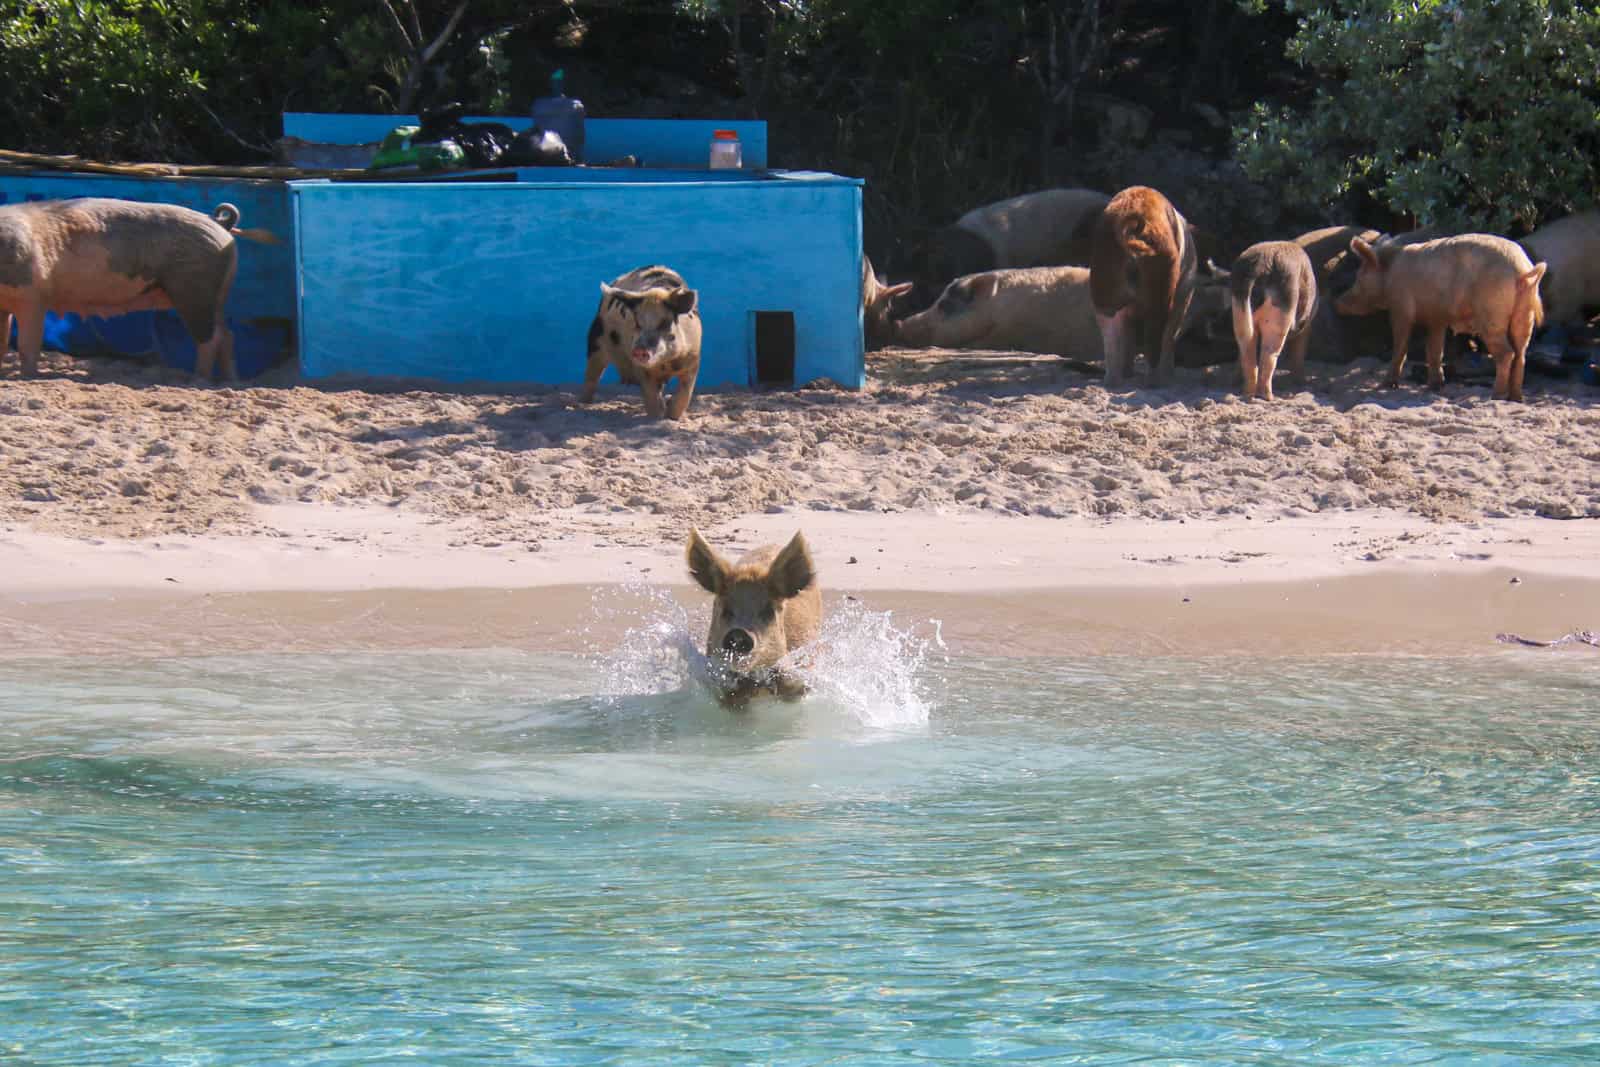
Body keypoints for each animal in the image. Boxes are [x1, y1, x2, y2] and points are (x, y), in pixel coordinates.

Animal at [0, 198, 278, 382]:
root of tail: (218, 223)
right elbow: (3, 340)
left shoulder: (32, 296)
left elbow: (27, 344)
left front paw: (26, 377)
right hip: (215, 295)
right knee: (227, 334)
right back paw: (231, 381)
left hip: (194, 292)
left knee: (211, 337)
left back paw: (197, 380)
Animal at [579, 265, 697, 419]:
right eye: (637, 323)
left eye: (665, 323)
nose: (640, 349)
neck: (665, 363)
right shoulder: (642, 369)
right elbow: (650, 396)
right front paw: (656, 418)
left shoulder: (693, 360)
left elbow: (685, 394)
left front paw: (671, 417)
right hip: (596, 341)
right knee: (591, 377)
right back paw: (583, 403)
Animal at [1337, 235, 1548, 399]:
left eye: (1359, 277)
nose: (1336, 302)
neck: (1389, 274)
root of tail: (1522, 270)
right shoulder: (1436, 318)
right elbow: (1434, 349)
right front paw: (1435, 386)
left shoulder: (1400, 309)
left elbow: (1401, 346)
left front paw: (1385, 385)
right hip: (1525, 314)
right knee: (1521, 354)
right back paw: (1516, 398)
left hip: (1492, 315)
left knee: (1506, 353)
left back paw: (1496, 395)